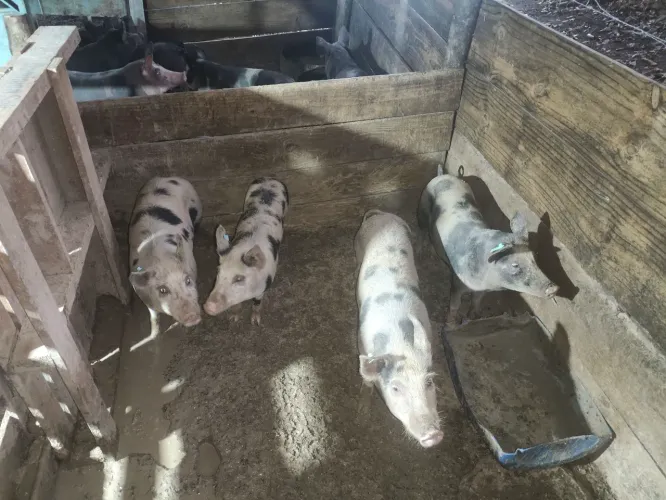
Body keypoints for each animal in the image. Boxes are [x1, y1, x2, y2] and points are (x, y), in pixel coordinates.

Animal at [129, 177, 203, 328]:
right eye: (163, 290)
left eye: (187, 281)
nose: (192, 316)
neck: (161, 259)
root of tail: (166, 177)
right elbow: (153, 315)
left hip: (196, 205)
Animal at [204, 178, 289, 325]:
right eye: (218, 272)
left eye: (239, 278)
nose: (207, 306)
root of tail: (269, 179)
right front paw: (233, 319)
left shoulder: (263, 287)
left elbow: (257, 302)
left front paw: (255, 322)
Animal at [354, 209, 443, 448]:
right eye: (395, 388)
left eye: (429, 382)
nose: (434, 435)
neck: (400, 343)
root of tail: (382, 214)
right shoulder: (362, 345)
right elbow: (366, 381)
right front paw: (362, 412)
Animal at [418, 166, 559, 321]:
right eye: (515, 265)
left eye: (535, 257)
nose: (554, 288)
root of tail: (443, 175)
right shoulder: (457, 281)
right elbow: (455, 304)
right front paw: (451, 321)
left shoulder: (483, 290)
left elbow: (477, 300)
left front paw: (475, 316)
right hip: (423, 206)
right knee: (423, 228)